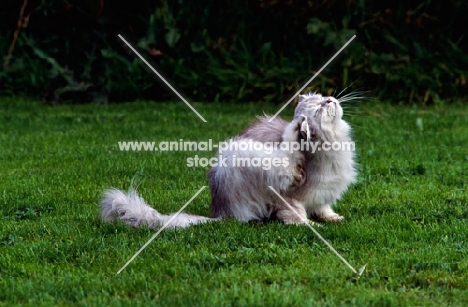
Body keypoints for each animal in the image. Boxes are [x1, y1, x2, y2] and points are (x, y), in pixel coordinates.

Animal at [100, 93, 356, 229]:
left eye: (322, 98)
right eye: (319, 108)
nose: (330, 99)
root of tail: (221, 212)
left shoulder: (323, 194)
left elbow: (323, 208)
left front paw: (332, 218)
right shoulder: (288, 198)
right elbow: (296, 217)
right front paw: (312, 226)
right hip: (245, 153)